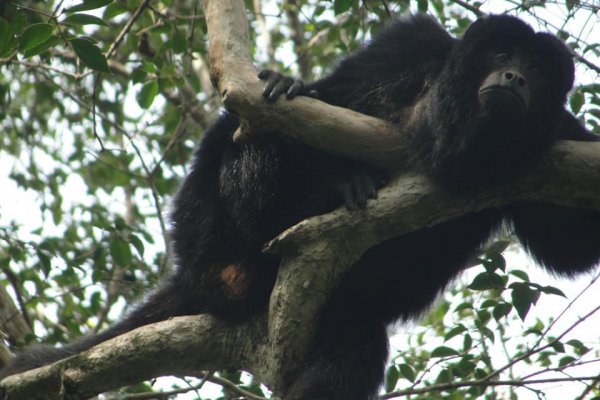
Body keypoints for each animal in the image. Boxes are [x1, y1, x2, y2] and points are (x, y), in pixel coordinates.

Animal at [1, 14, 600, 400]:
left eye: (537, 71)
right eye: (502, 55)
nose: (515, 76)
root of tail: (191, 273)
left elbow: (569, 249)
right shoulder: (409, 43)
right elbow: (328, 93)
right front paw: (291, 88)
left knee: (356, 349)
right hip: (207, 235)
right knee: (246, 134)